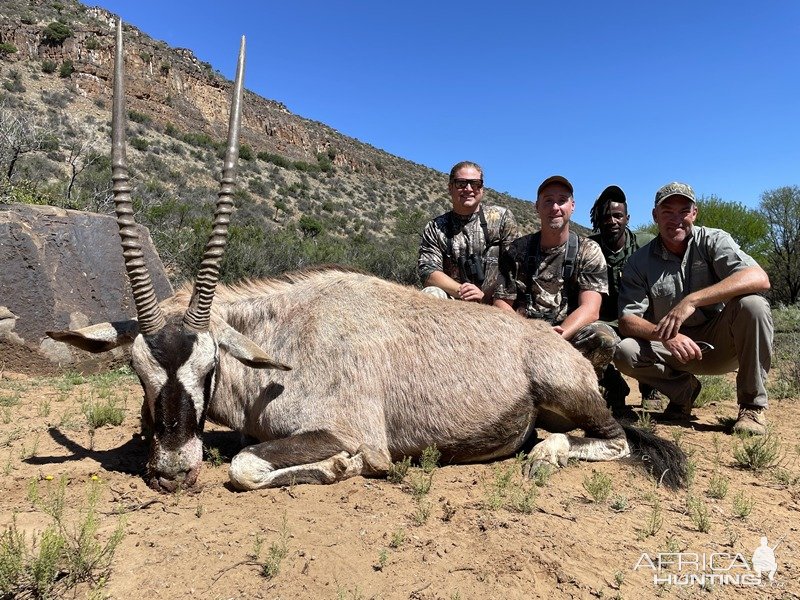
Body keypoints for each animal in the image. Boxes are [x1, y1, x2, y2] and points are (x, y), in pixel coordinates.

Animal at [48, 22, 688, 492]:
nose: (173, 471)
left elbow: (248, 465)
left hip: (569, 394)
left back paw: (547, 453)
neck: (284, 339)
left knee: (614, 437)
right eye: (138, 371)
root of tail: (553, 344)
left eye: (209, 368)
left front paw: (343, 466)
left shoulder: (345, 429)